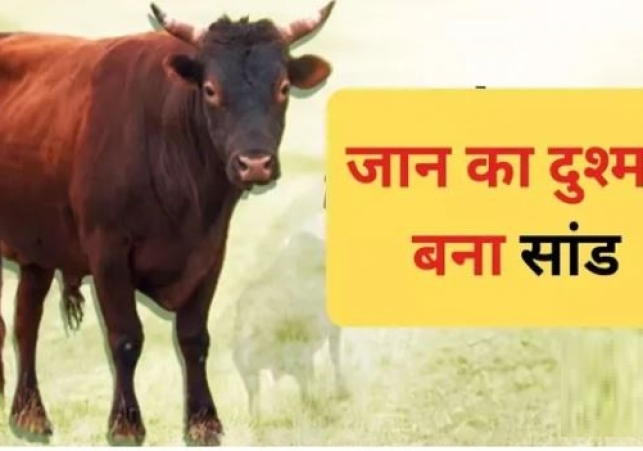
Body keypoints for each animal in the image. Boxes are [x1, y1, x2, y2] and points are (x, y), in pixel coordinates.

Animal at [0, 2, 335, 445]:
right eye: (210, 89)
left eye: (282, 88)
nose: (255, 164)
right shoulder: (108, 251)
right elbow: (126, 337)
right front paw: (126, 424)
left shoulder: (210, 252)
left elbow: (194, 338)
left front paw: (204, 421)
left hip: (38, 246)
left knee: (26, 322)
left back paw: (31, 416)